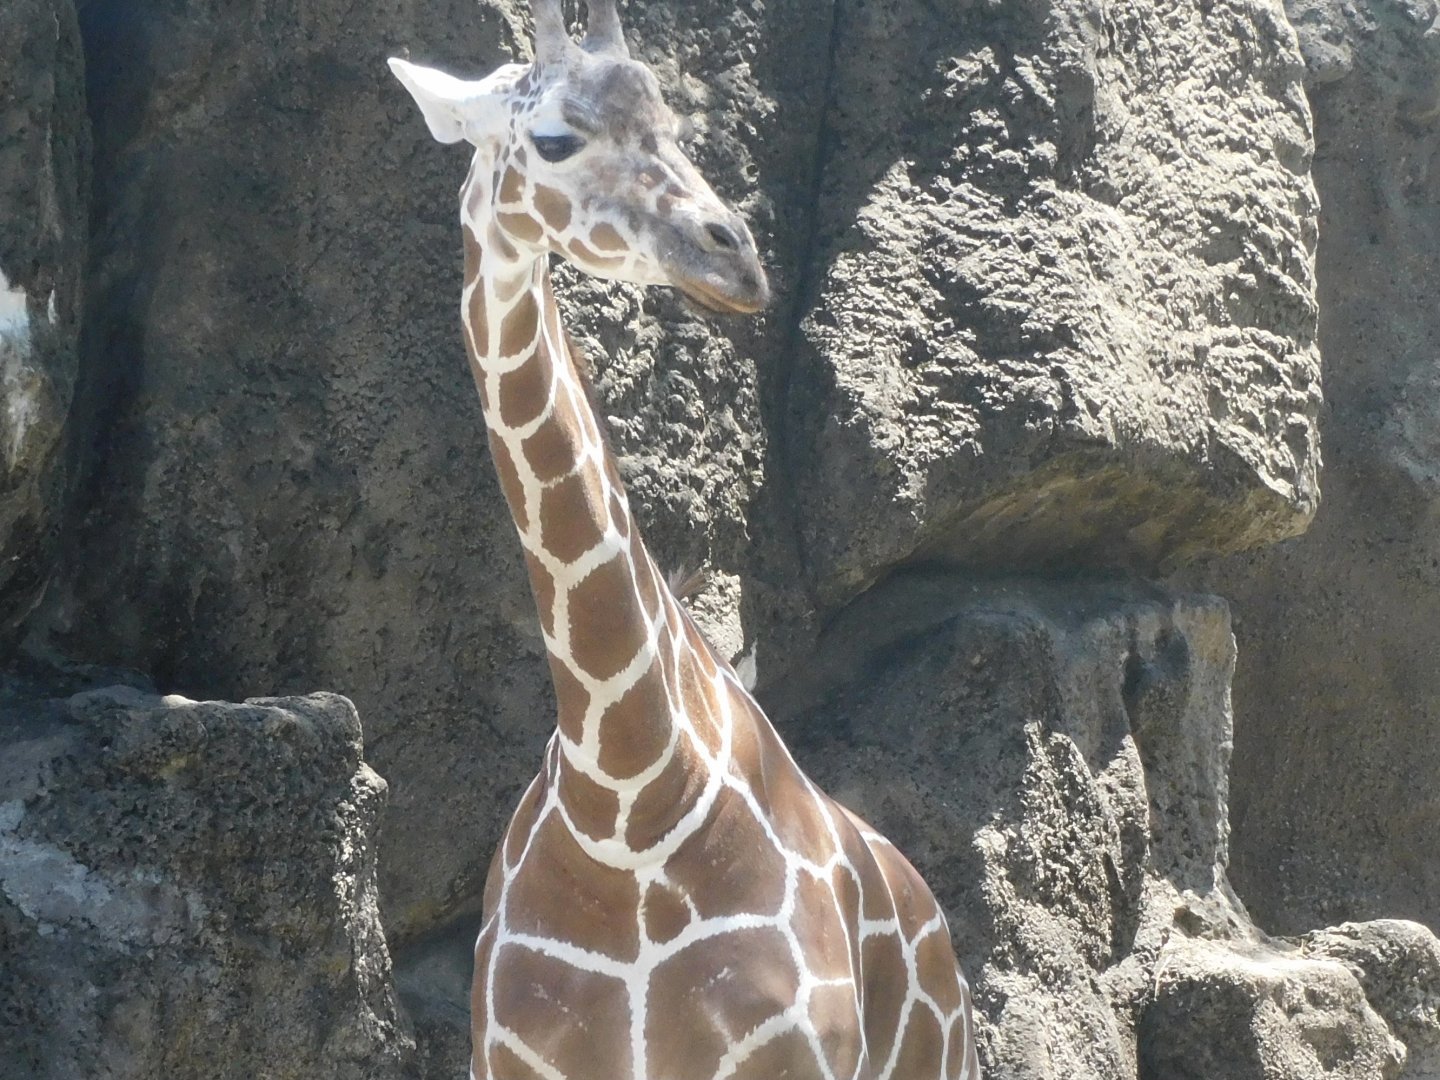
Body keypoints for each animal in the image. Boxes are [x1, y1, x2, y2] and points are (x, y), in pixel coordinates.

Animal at [388, 3, 981, 1077]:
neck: (625, 796)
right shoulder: (509, 1059)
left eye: (672, 123)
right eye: (554, 139)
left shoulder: (792, 1058)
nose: (735, 257)